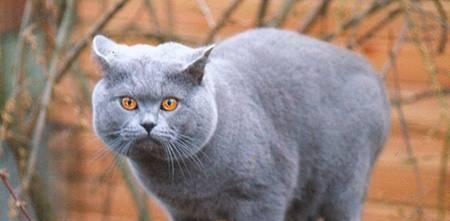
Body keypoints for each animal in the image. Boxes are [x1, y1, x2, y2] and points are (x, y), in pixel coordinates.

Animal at [91, 28, 390, 221]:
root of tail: (372, 74)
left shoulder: (262, 197)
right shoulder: (183, 212)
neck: (186, 183)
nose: (148, 124)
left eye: (169, 103)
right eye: (128, 102)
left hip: (344, 185)